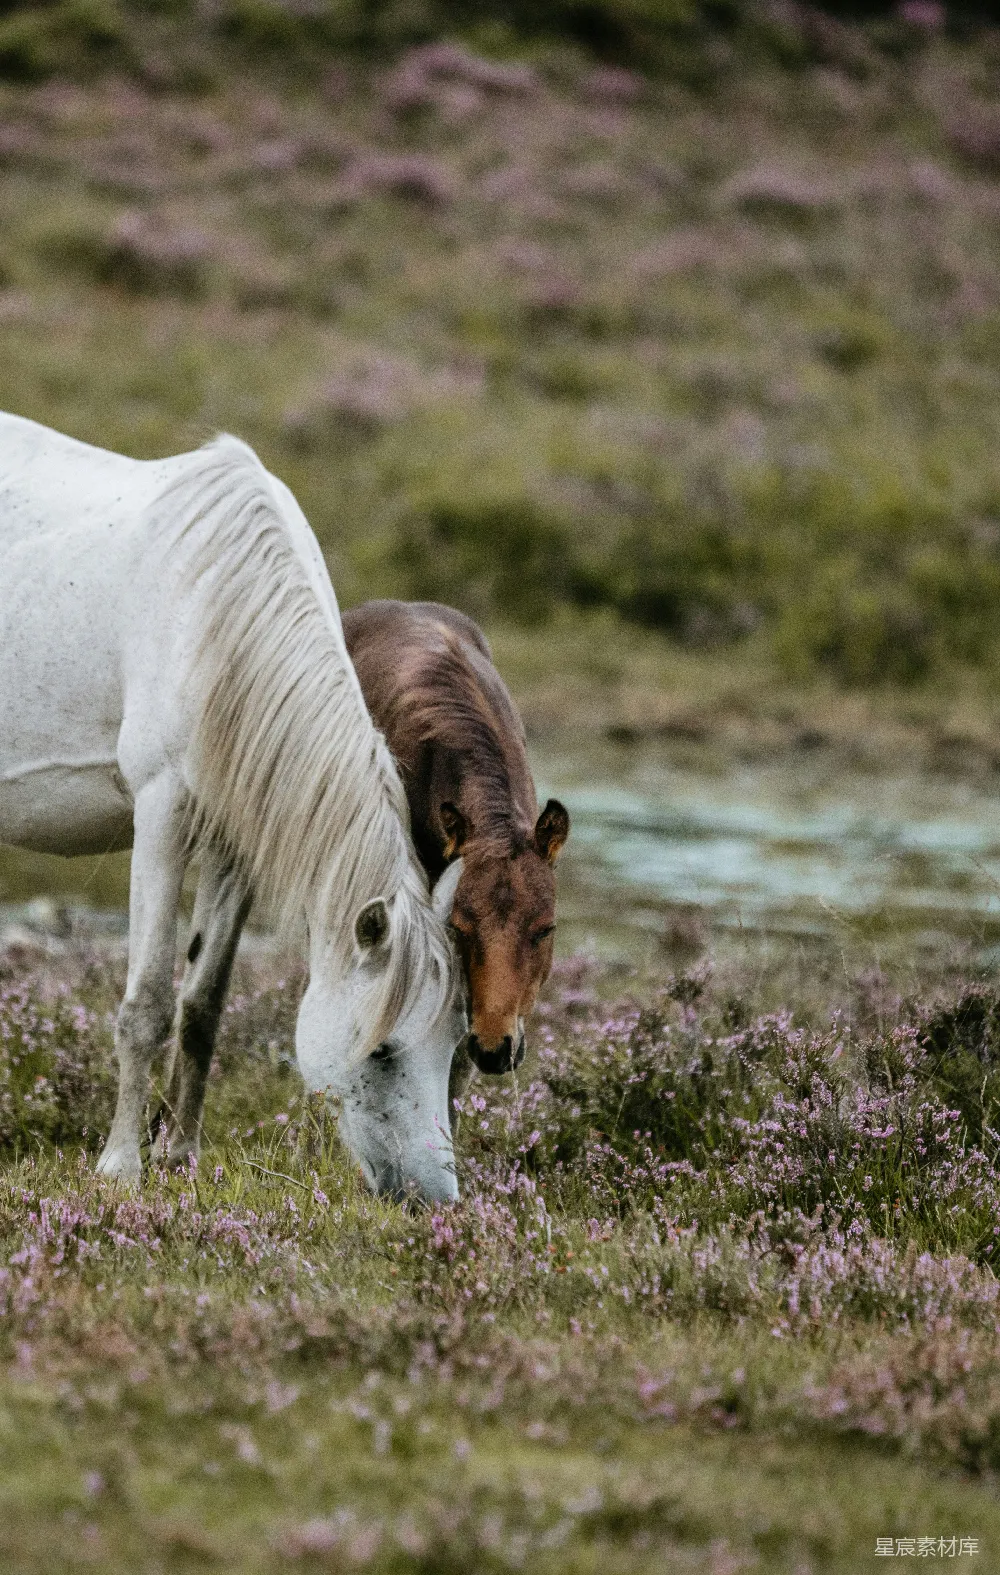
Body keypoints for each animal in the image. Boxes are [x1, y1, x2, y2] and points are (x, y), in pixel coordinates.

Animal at [0, 412, 465, 1202]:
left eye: (456, 1043)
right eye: (383, 1051)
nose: (435, 1200)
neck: (218, 611)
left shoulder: (236, 843)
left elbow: (202, 1007)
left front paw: (179, 1156)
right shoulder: (161, 814)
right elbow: (147, 1005)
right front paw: (120, 1166)